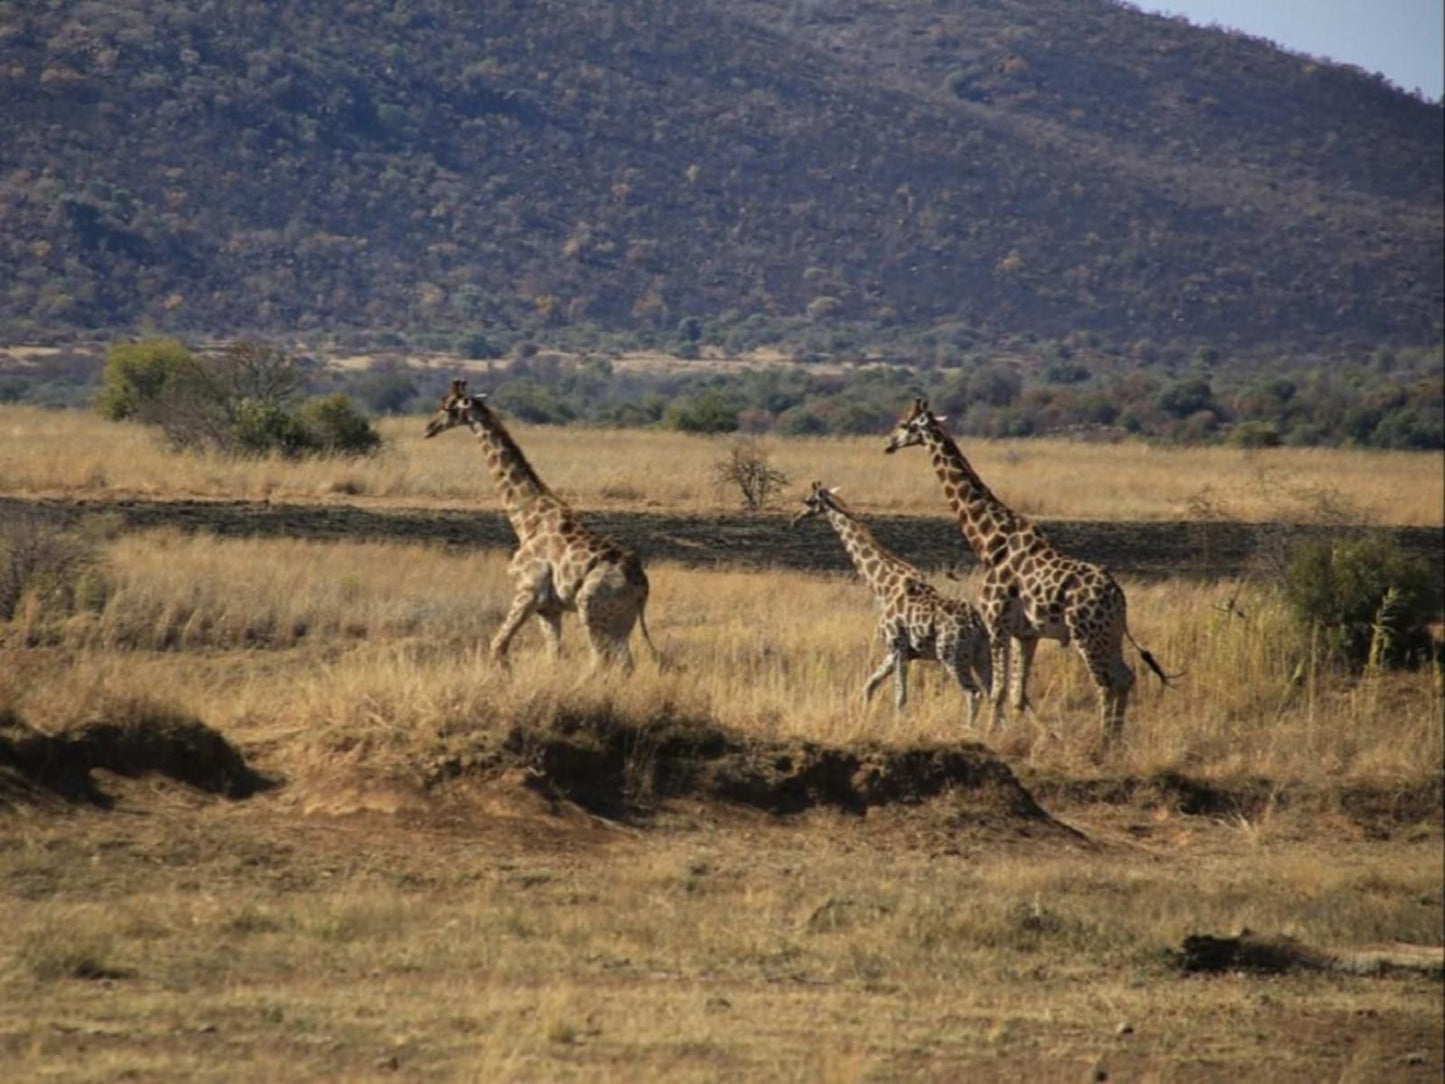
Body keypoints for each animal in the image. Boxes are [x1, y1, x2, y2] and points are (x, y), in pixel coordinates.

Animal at [421, 378, 661, 670]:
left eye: (447, 406)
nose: (428, 428)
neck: (525, 518)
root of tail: (642, 587)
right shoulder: (548, 608)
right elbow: (553, 655)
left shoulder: (528, 591)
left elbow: (497, 646)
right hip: (620, 620)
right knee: (625, 663)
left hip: (591, 607)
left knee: (600, 659)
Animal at [791, 482, 994, 722]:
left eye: (809, 501)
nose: (795, 519)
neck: (883, 587)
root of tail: (977, 625)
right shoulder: (898, 650)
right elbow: (869, 686)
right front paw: (865, 716)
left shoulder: (898, 646)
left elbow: (900, 697)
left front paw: (896, 724)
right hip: (981, 653)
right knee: (994, 692)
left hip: (951, 655)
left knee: (973, 693)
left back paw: (969, 728)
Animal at [878, 398, 1173, 745]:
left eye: (905, 424)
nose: (888, 443)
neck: (989, 542)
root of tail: (1118, 597)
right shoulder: (1026, 633)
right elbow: (1017, 694)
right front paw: (1033, 733)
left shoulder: (996, 622)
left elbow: (997, 690)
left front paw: (990, 733)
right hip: (1109, 634)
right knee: (1125, 677)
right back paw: (1114, 739)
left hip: (1087, 634)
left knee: (1106, 682)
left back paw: (1103, 742)